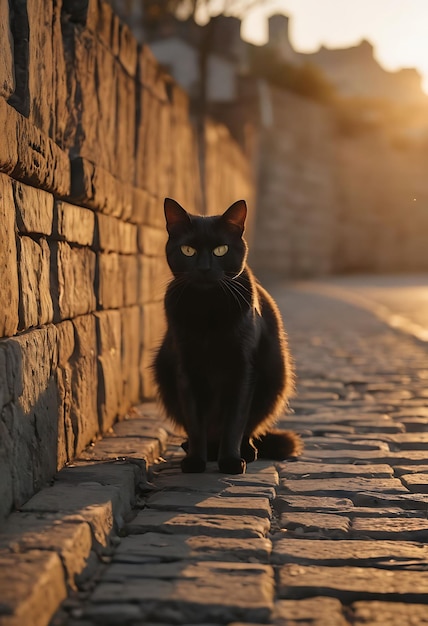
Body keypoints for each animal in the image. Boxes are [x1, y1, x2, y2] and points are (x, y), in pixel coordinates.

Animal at [153, 196, 300, 472]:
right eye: (188, 250)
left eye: (220, 250)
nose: (204, 268)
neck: (208, 308)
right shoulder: (185, 368)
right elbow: (194, 421)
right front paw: (195, 461)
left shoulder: (243, 368)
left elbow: (235, 421)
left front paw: (231, 461)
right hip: (163, 373)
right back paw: (197, 449)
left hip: (276, 377)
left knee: (249, 428)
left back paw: (246, 452)